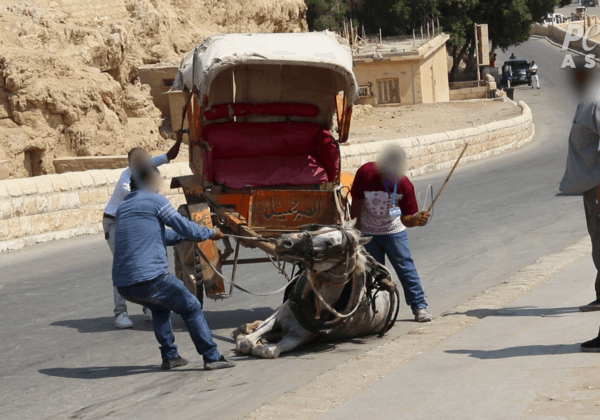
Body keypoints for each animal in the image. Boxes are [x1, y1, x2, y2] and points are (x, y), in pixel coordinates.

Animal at [233, 218, 398, 360]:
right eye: (319, 229)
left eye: (331, 243)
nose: (284, 241)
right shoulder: (278, 315)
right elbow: (247, 341)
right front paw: (251, 337)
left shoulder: (298, 336)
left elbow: (267, 350)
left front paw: (263, 343)